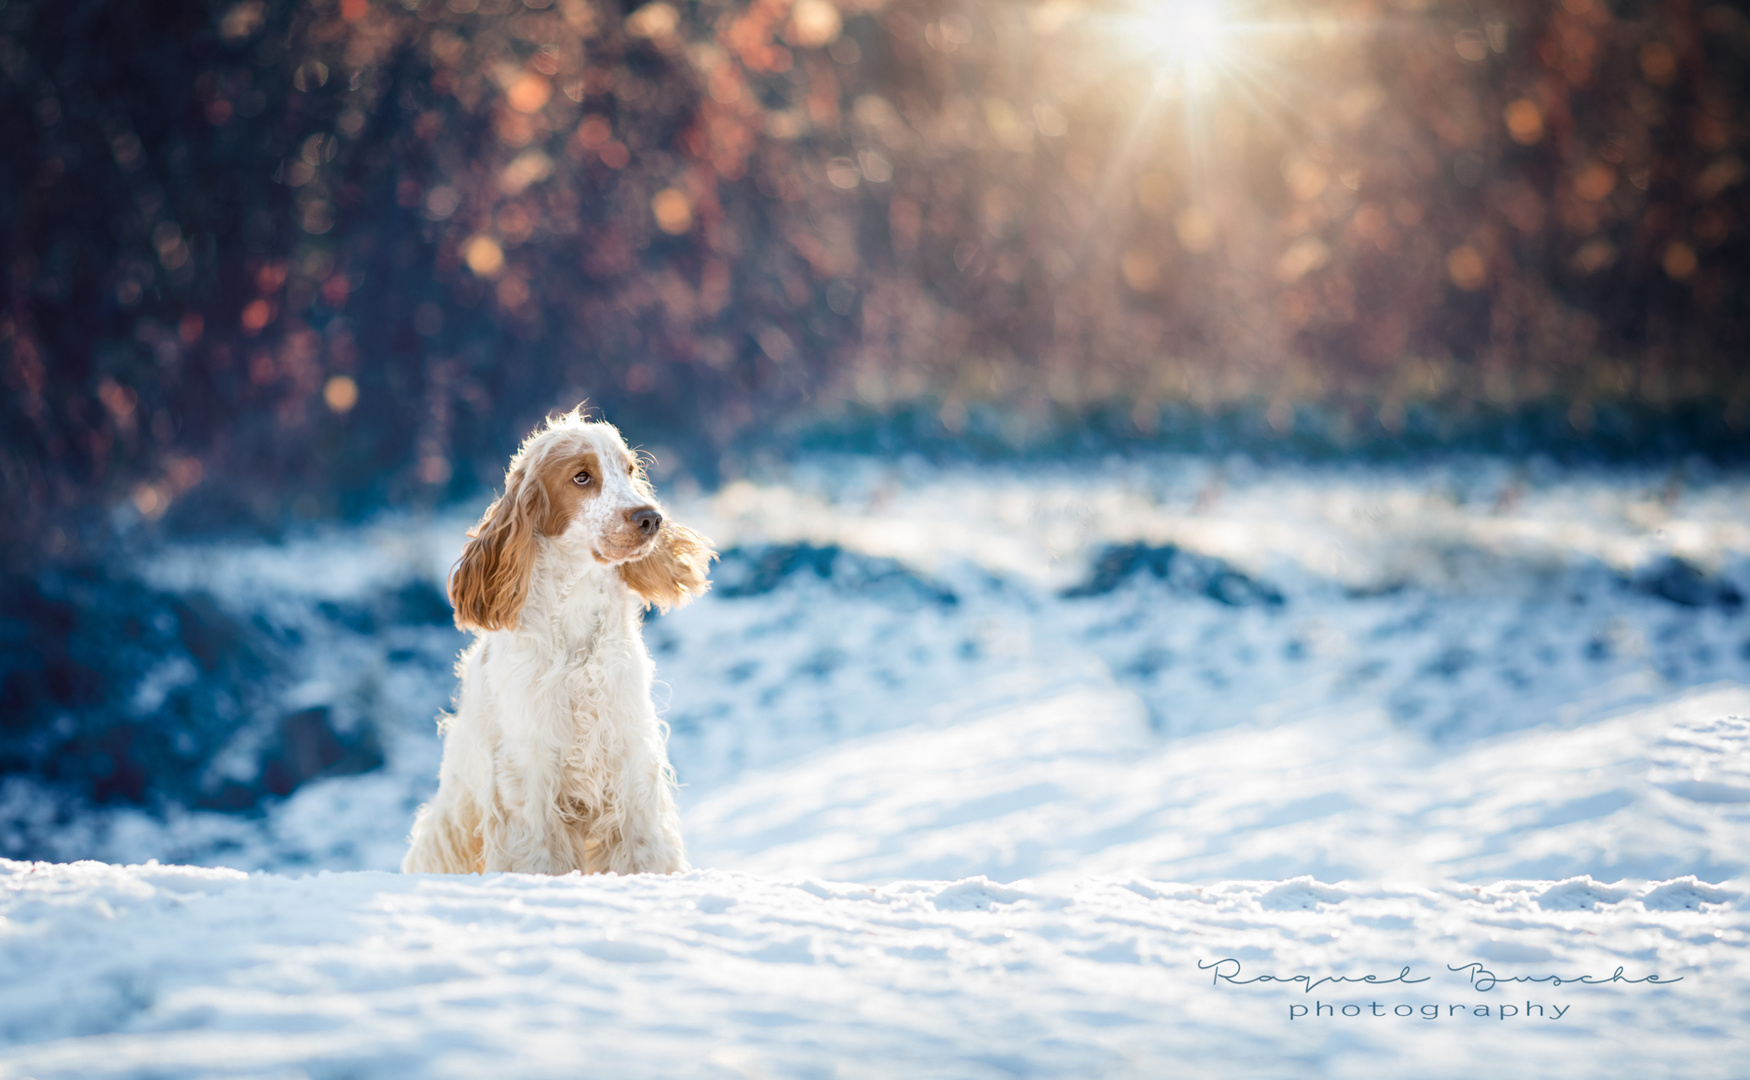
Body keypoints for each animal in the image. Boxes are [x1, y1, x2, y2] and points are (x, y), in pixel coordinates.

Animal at [400, 407, 710, 871]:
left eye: (629, 470)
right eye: (581, 477)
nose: (651, 518)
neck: (575, 609)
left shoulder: (630, 756)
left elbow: (642, 847)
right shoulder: (528, 773)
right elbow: (540, 855)